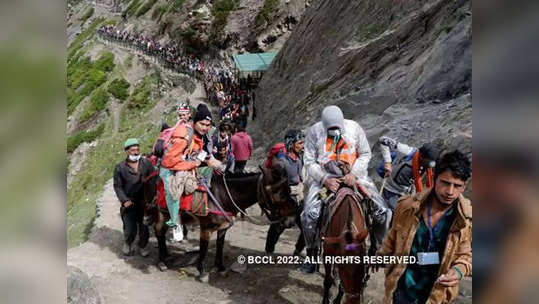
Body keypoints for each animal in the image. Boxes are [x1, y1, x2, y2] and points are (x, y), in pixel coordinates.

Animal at [143, 167, 296, 282]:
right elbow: (204, 249)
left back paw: (166, 256)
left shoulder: (223, 228)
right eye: (279, 195)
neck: (222, 196)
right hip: (161, 214)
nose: (292, 220)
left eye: (289, 191)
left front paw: (220, 267)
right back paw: (162, 261)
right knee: (159, 231)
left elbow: (220, 246)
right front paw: (202, 271)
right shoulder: (206, 228)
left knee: (161, 232)